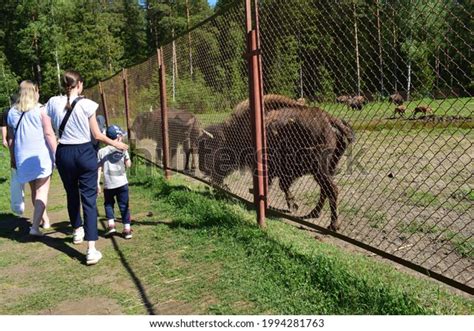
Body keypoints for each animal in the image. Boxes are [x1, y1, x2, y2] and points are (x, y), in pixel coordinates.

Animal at [197, 94, 356, 232]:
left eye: (211, 150)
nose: (202, 168)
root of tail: (329, 119)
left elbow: (277, 185)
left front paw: (289, 204)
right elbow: (283, 186)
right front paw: (291, 204)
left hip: (319, 168)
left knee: (332, 189)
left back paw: (333, 225)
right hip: (329, 167)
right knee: (325, 190)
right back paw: (314, 213)